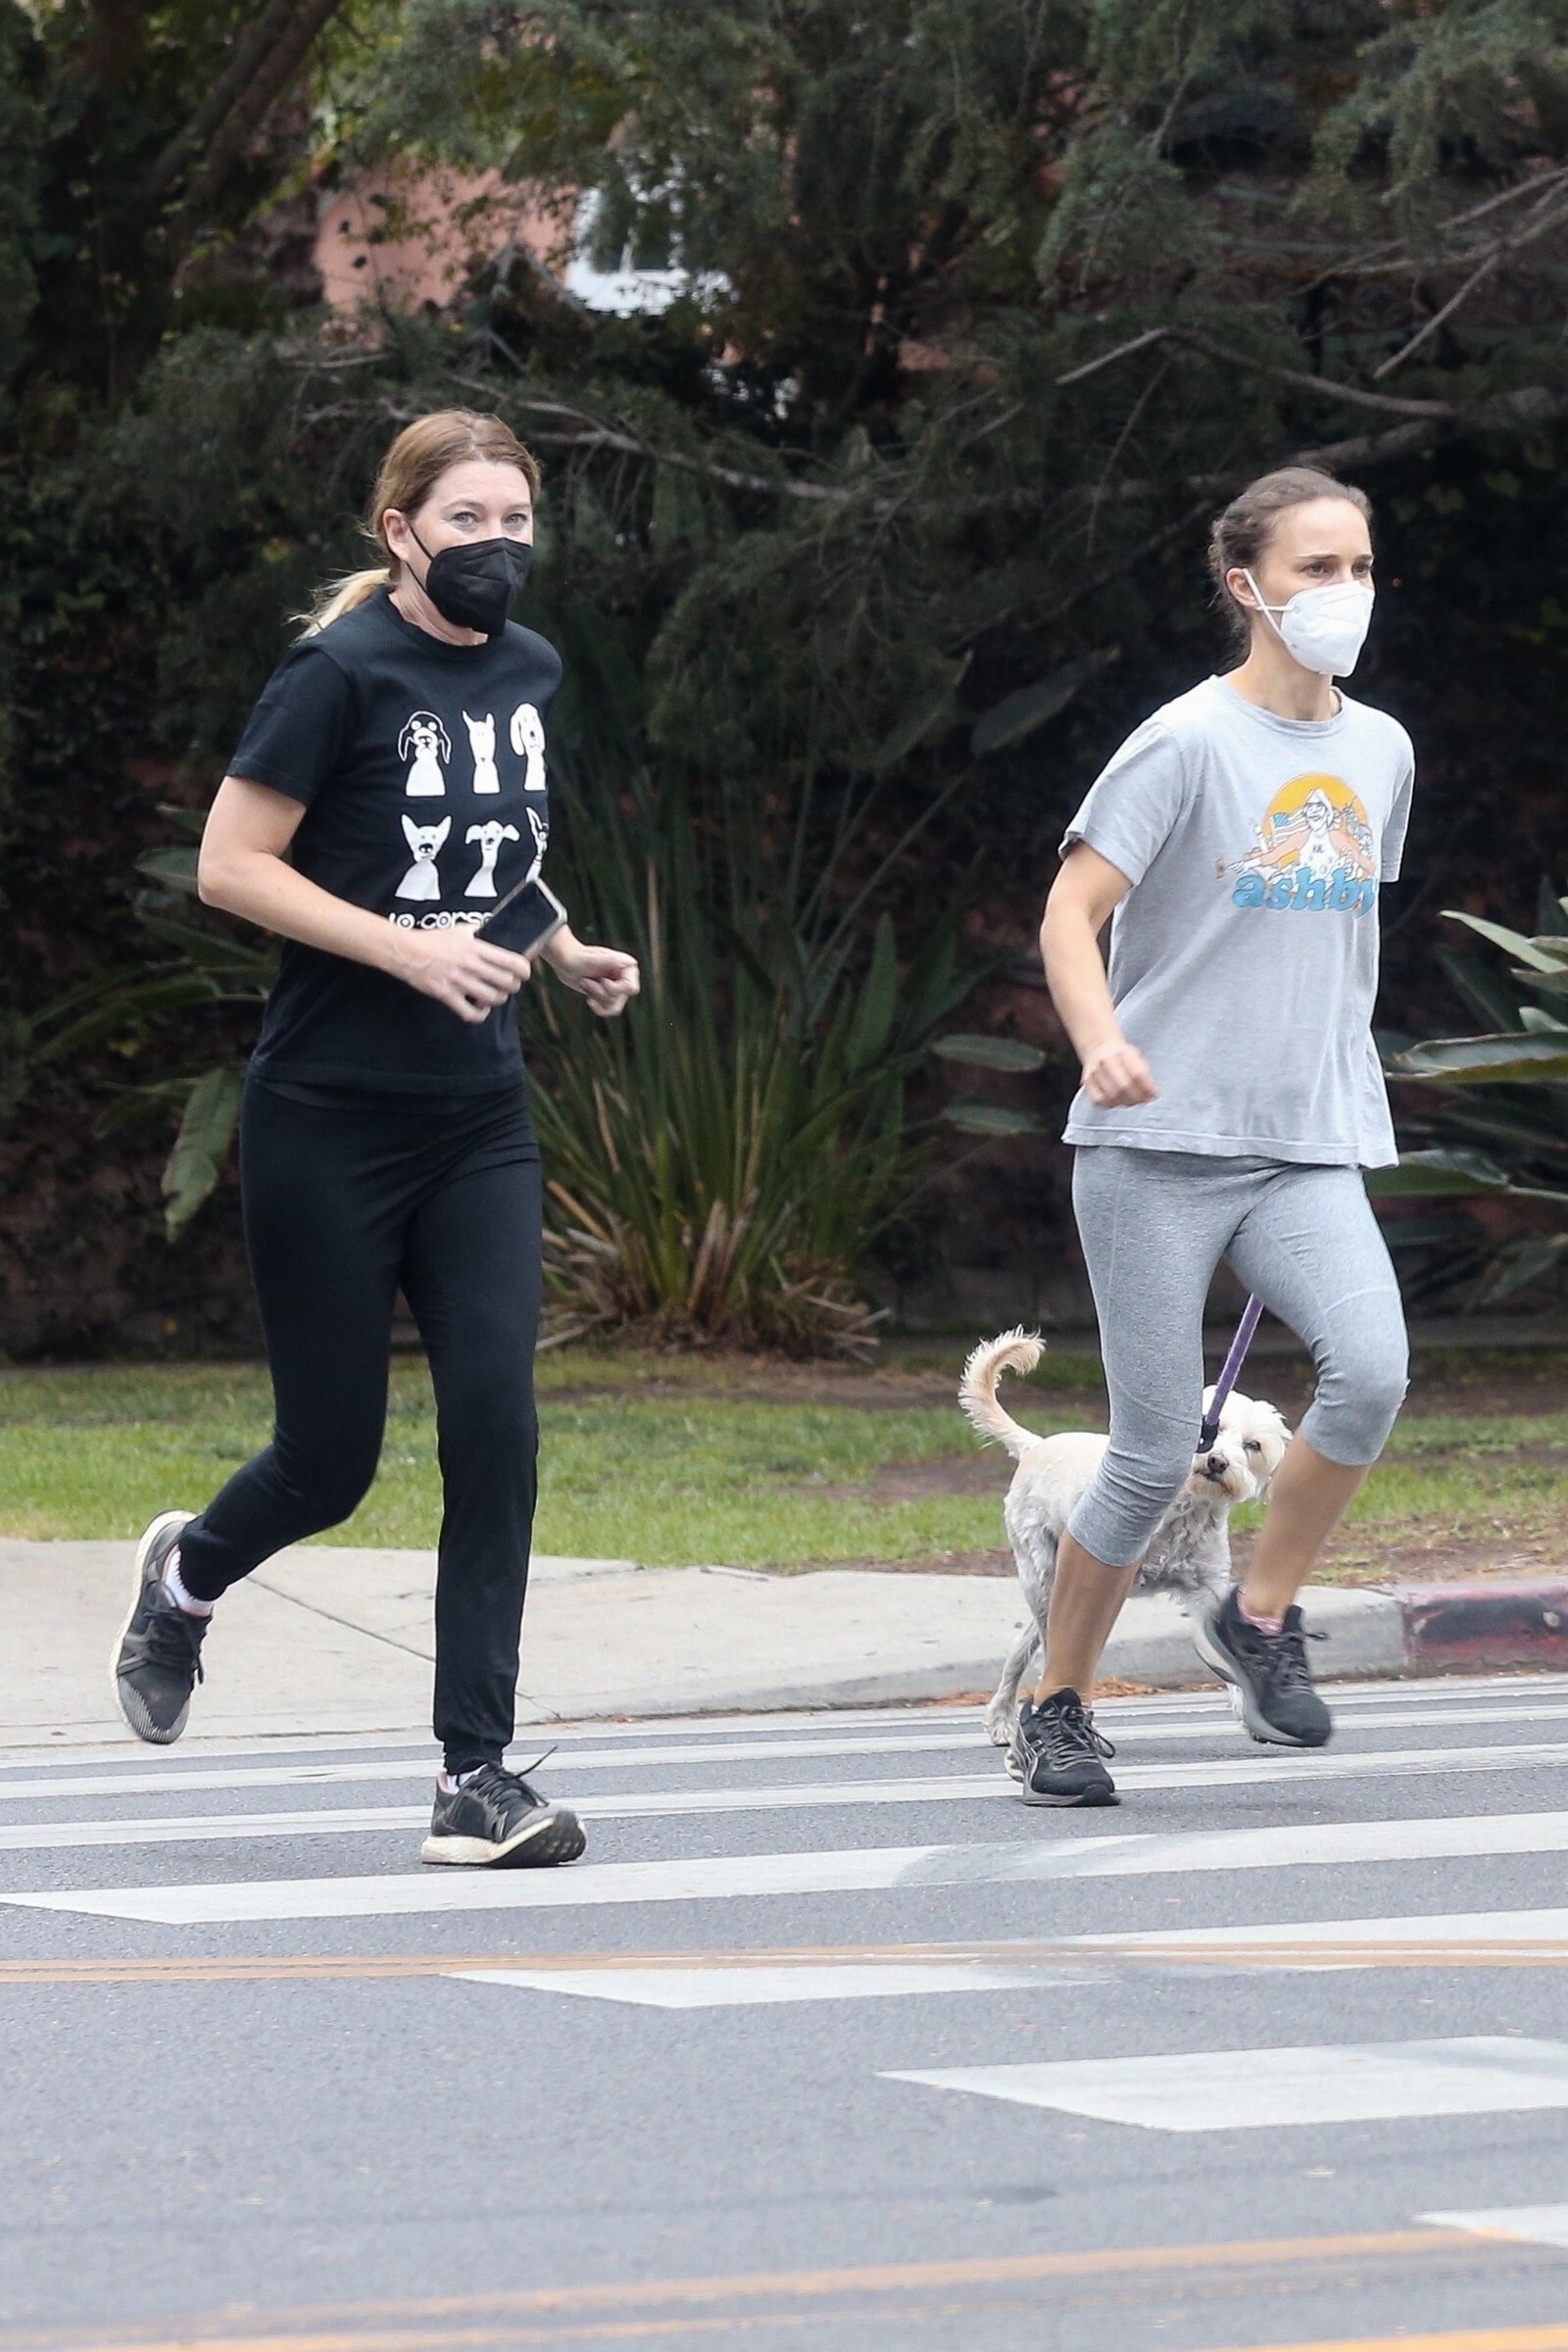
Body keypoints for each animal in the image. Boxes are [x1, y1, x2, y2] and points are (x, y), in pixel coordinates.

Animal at [960, 1328, 1290, 1746]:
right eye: (1210, 1428)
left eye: (1253, 1445)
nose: (1217, 1461)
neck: (1184, 1508)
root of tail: (1036, 1445)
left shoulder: (1206, 1587)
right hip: (1040, 1572)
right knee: (1048, 1644)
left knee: (1023, 1646)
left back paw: (1005, 1718)